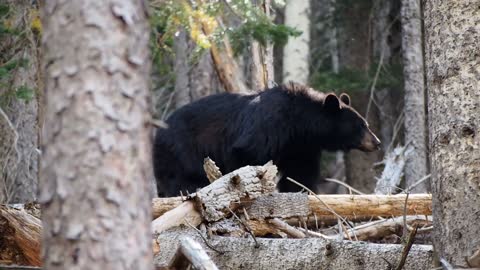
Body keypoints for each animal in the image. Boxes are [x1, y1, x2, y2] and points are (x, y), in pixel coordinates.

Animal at [152, 82, 380, 196]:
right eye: (361, 125)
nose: (377, 142)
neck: (299, 123)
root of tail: (158, 131)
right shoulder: (269, 124)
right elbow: (246, 154)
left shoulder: (301, 146)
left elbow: (300, 173)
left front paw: (300, 191)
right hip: (180, 150)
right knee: (180, 179)